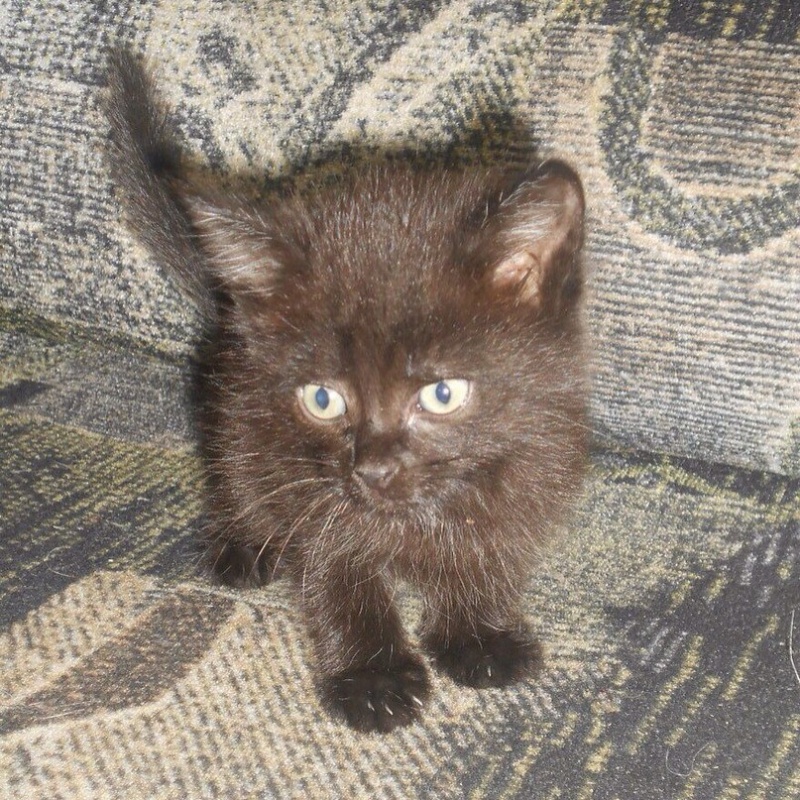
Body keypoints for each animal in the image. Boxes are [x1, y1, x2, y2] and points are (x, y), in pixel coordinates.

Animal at [105, 48, 588, 733]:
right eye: (323, 399)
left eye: (441, 394)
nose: (373, 470)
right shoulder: (301, 473)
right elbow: (336, 570)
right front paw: (372, 675)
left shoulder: (535, 449)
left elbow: (486, 545)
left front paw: (479, 633)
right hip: (237, 401)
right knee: (235, 469)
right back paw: (242, 541)